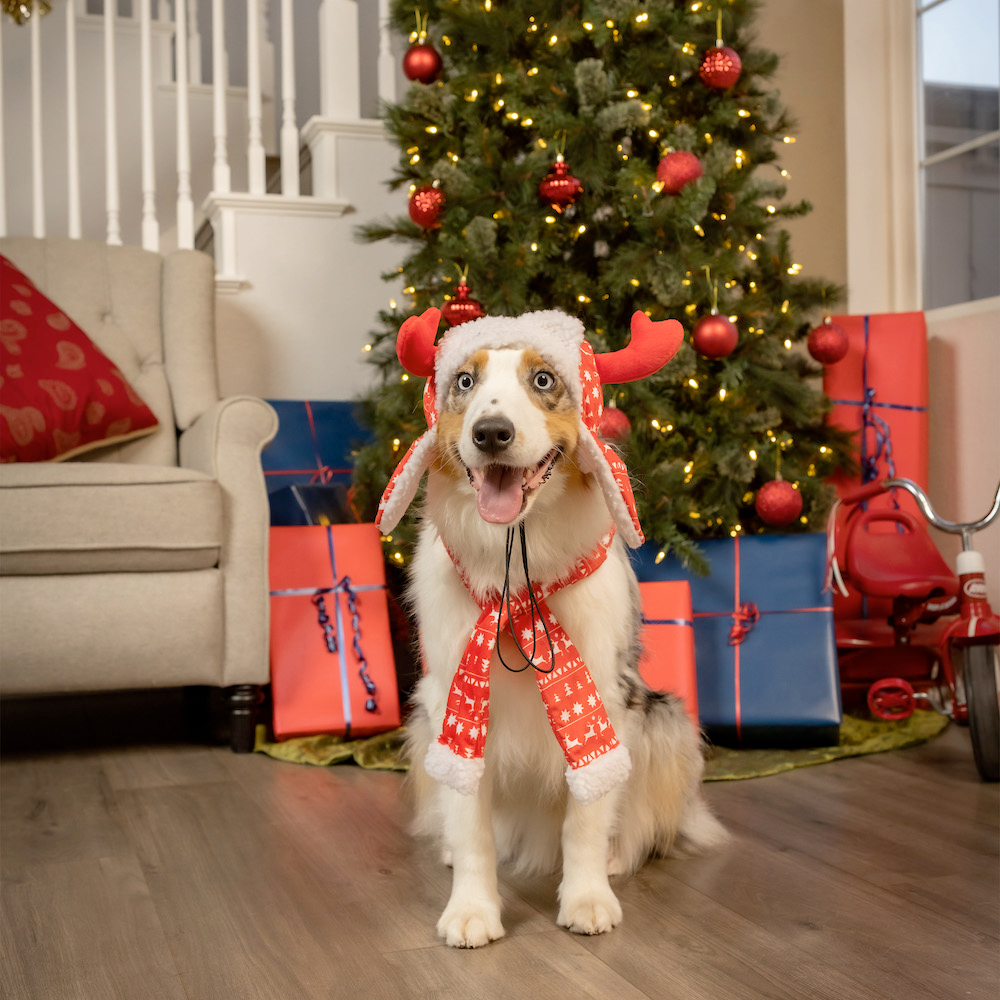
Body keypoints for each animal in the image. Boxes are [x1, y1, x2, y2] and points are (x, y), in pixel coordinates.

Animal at [376, 308, 728, 948]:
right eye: (464, 381)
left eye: (543, 380)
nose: (491, 432)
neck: (516, 572)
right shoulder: (453, 704)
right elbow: (471, 825)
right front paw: (471, 909)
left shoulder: (605, 700)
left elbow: (586, 817)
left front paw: (587, 899)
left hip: (666, 722)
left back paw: (617, 857)